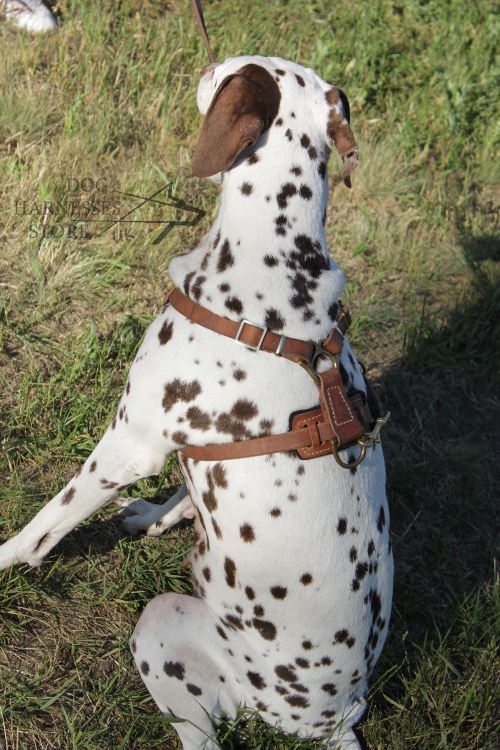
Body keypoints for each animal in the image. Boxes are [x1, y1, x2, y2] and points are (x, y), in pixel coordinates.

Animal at [0, 55, 394, 748]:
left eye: (234, 67)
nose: (208, 61)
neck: (268, 269)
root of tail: (336, 718)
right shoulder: (186, 446)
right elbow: (182, 485)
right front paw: (155, 515)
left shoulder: (127, 443)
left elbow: (44, 526)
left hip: (163, 624)